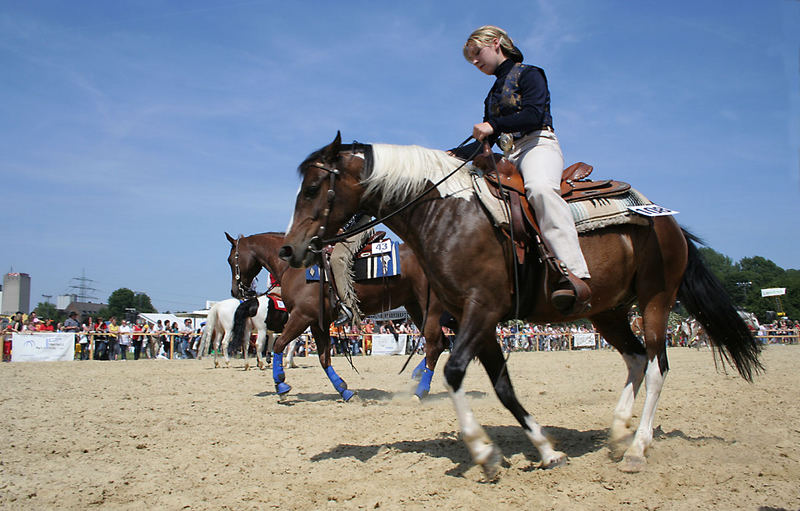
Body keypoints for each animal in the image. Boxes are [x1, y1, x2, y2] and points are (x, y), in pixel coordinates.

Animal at [225, 233, 450, 404]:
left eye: (230, 259)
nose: (236, 291)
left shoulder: (301, 316)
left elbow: (279, 345)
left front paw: (280, 385)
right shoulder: (318, 323)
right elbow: (324, 358)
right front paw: (345, 391)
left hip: (431, 307)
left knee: (435, 344)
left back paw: (420, 391)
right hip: (416, 306)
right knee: (441, 343)